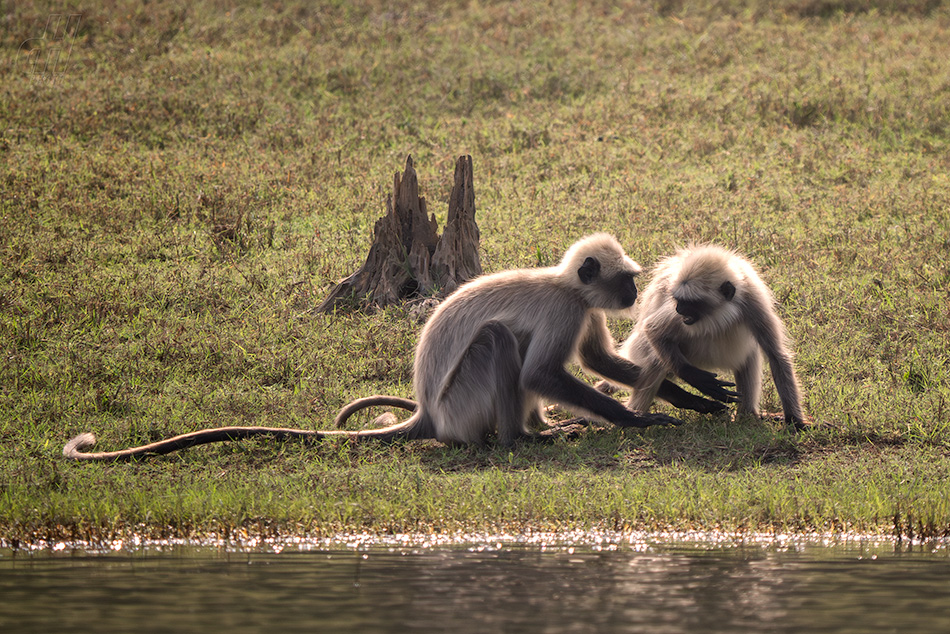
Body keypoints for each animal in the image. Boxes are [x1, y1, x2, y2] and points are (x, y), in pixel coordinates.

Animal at [63, 232, 716, 460]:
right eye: (626, 279)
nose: (632, 292)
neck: (564, 285)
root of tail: (427, 412)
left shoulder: (581, 310)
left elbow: (596, 361)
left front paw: (694, 394)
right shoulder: (565, 308)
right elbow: (545, 374)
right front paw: (642, 422)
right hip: (462, 405)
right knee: (500, 342)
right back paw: (522, 438)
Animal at [612, 242, 808, 430]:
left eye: (690, 303)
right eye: (678, 300)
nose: (678, 309)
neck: (720, 313)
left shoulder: (752, 302)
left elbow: (776, 355)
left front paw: (796, 422)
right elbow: (654, 330)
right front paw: (697, 379)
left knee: (749, 355)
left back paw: (748, 416)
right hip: (645, 350)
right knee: (655, 358)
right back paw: (635, 420)